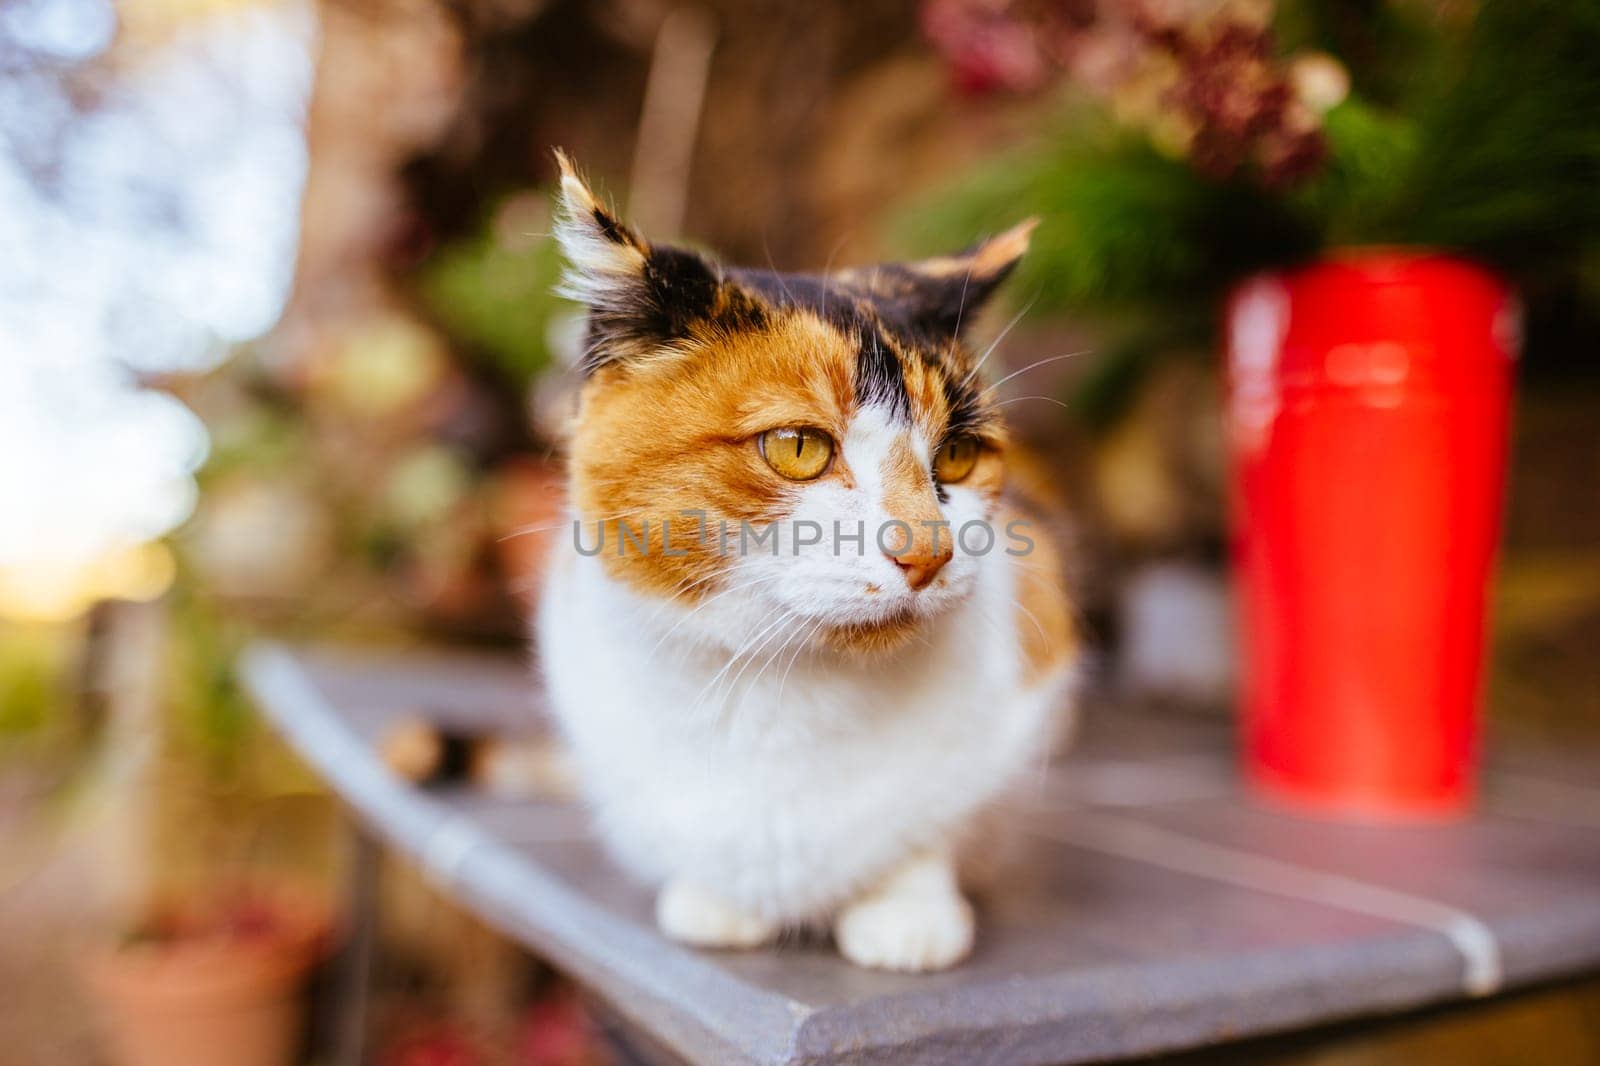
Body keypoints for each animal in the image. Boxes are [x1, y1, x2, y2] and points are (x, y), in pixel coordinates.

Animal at [537, 151, 1075, 973]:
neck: (782, 686)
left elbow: (931, 832)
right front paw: (716, 903)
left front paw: (908, 913)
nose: (928, 551)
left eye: (957, 454)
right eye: (797, 447)